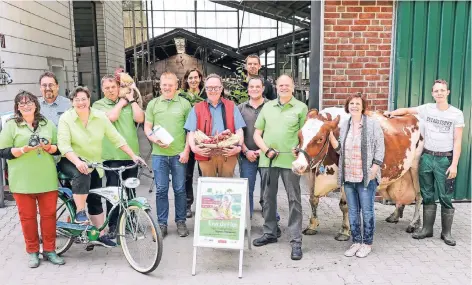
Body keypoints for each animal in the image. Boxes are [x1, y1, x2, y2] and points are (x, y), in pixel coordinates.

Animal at [292, 106, 424, 240]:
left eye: (320, 139)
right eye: (299, 135)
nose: (297, 166)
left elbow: (344, 205)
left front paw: (344, 231)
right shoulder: (312, 172)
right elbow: (313, 199)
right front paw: (311, 226)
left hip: (416, 166)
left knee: (419, 195)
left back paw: (413, 223)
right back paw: (397, 216)